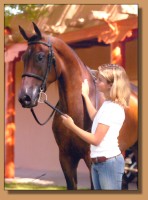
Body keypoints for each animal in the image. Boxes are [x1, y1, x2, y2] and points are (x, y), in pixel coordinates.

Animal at [18, 22, 138, 190]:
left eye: (40, 57)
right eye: (23, 58)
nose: (25, 97)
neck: (76, 108)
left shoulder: (91, 160)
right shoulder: (66, 158)